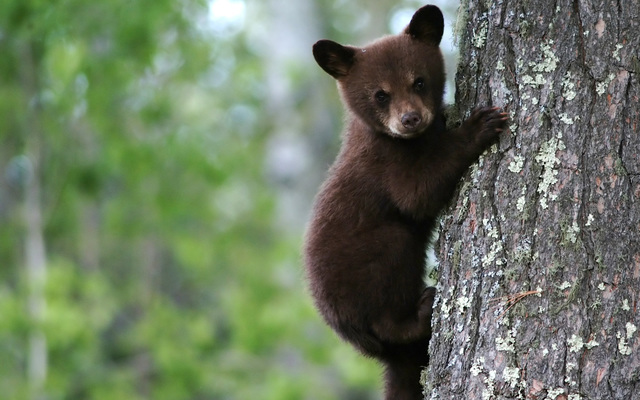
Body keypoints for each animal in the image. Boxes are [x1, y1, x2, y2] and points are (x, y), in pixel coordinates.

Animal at [303, 5, 508, 400]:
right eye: (380, 94)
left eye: (419, 81)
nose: (410, 118)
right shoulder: (384, 164)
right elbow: (417, 194)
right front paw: (479, 125)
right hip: (369, 269)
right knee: (389, 291)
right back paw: (422, 310)